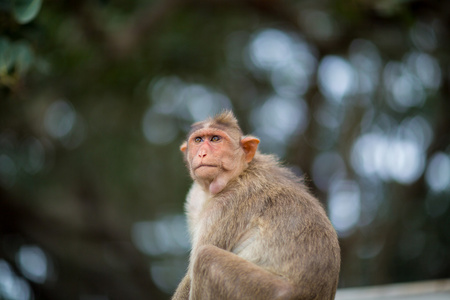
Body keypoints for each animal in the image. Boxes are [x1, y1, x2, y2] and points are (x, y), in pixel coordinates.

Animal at [174, 110, 340, 300]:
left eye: (215, 139)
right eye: (198, 140)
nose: (202, 153)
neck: (237, 175)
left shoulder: (226, 205)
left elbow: (192, 274)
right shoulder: (195, 199)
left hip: (261, 290)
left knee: (206, 257)